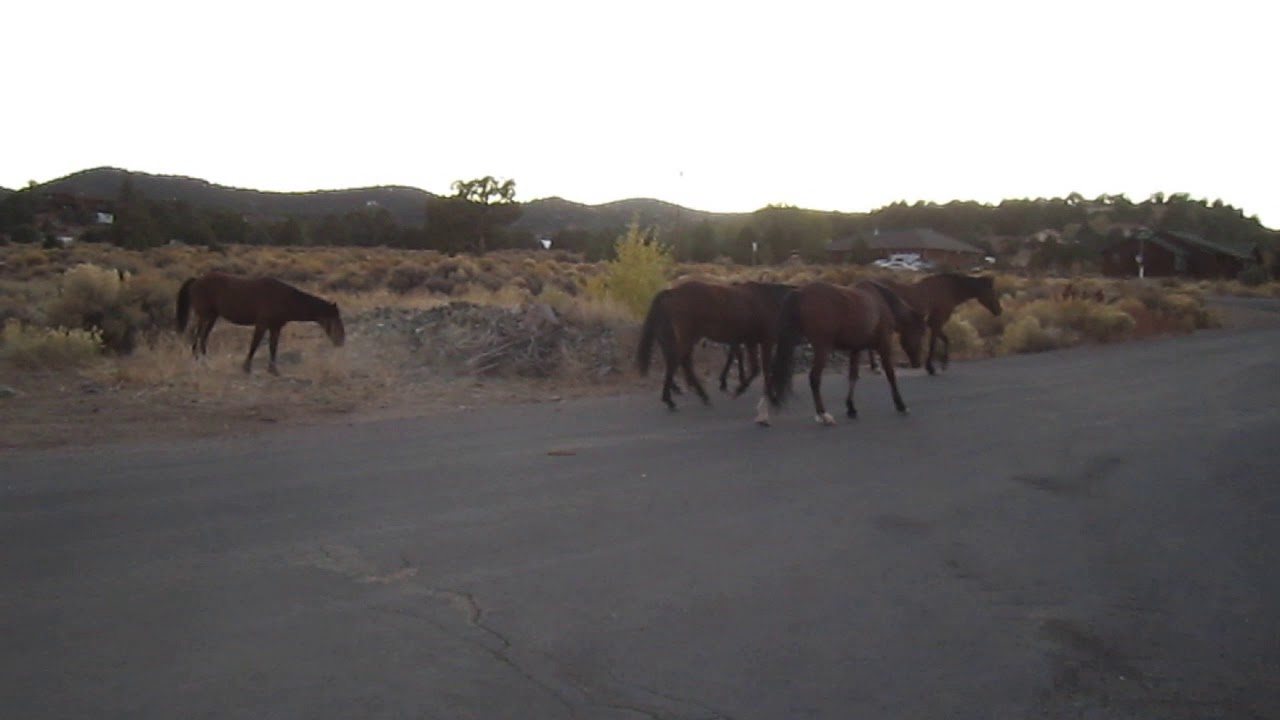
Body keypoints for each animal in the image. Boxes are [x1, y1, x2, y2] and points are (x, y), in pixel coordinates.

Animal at [176, 272, 345, 375]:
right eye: (335, 319)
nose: (341, 341)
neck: (285, 298)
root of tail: (197, 280)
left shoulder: (275, 328)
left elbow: (273, 348)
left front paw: (273, 370)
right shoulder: (262, 324)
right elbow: (254, 345)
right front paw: (246, 368)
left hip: (212, 317)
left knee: (203, 337)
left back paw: (206, 361)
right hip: (204, 316)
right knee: (196, 335)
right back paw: (198, 360)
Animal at [636, 279, 781, 410]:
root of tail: (671, 292)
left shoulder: (749, 341)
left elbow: (754, 365)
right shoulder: (762, 342)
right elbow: (759, 367)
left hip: (688, 338)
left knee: (683, 361)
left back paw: (695, 394)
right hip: (686, 338)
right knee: (677, 361)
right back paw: (673, 398)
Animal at [762, 280, 925, 426]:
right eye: (920, 332)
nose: (918, 363)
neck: (881, 303)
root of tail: (801, 293)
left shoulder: (856, 349)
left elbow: (853, 377)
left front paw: (851, 408)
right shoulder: (883, 346)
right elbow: (891, 375)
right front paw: (901, 405)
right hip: (822, 349)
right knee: (814, 378)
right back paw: (823, 415)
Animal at [869, 273, 1002, 375]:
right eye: (992, 291)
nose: (999, 310)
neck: (949, 290)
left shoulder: (933, 324)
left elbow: (945, 340)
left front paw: (943, 364)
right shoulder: (936, 323)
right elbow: (933, 343)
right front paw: (931, 367)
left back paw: (875, 367)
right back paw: (876, 367)